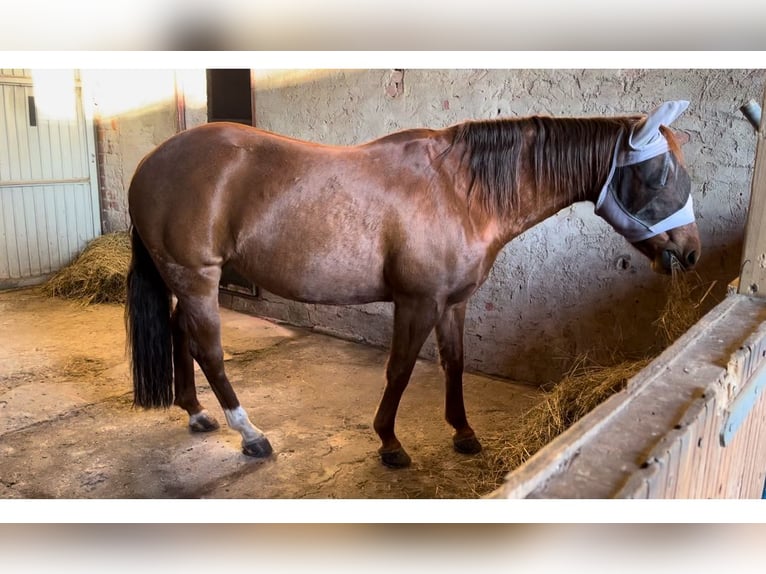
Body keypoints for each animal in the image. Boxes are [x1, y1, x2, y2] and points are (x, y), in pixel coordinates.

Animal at [126, 100, 704, 468]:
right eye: (657, 175)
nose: (691, 252)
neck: (460, 191)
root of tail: (150, 162)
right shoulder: (417, 302)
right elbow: (401, 370)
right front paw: (389, 443)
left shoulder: (453, 303)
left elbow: (454, 362)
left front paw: (463, 432)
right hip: (198, 279)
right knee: (209, 350)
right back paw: (250, 434)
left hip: (185, 283)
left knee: (179, 331)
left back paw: (196, 412)